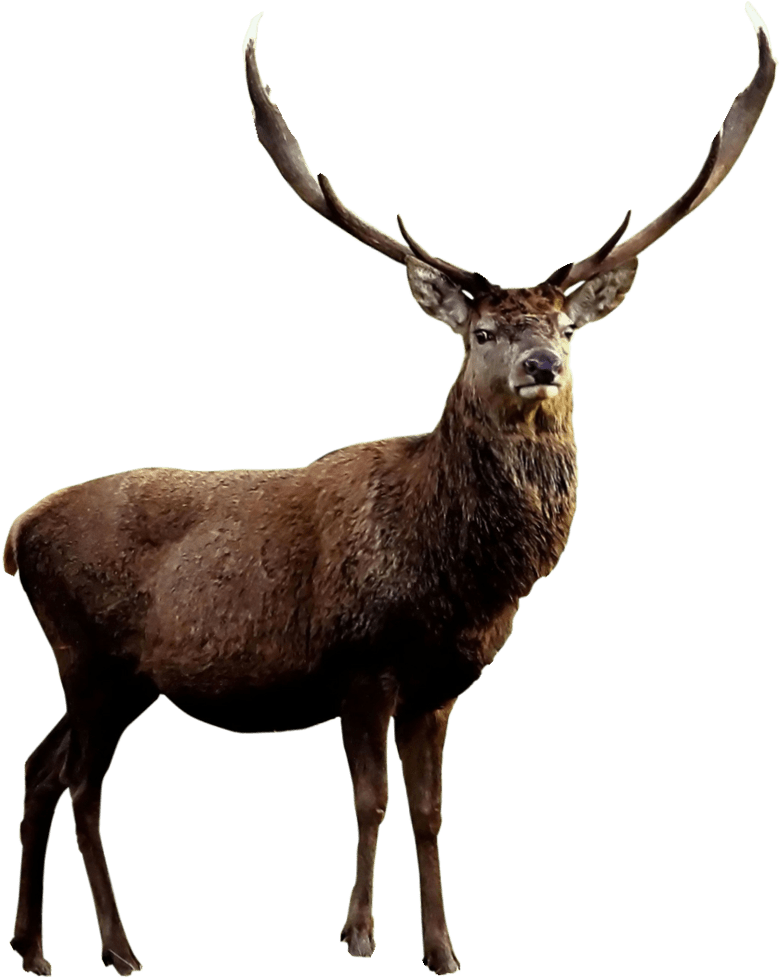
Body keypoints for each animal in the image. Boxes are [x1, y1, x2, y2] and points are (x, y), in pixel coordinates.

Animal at [6, 5, 775, 977]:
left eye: (567, 326)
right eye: (481, 332)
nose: (541, 364)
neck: (456, 580)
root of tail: (15, 531)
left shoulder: (440, 687)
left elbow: (431, 813)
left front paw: (443, 949)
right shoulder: (358, 663)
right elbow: (369, 803)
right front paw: (360, 935)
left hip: (121, 674)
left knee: (39, 766)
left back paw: (34, 950)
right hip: (86, 651)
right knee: (79, 783)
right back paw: (118, 949)